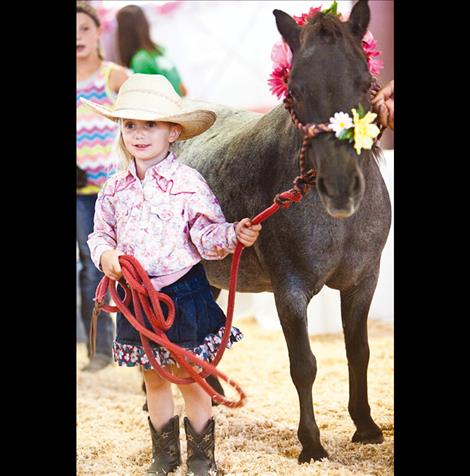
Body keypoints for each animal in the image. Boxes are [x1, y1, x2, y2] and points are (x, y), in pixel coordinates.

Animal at [173, 0, 390, 462]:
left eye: (366, 84)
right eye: (295, 90)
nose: (339, 187)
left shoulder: (364, 280)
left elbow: (359, 351)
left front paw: (366, 426)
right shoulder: (289, 290)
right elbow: (304, 364)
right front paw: (312, 445)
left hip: (207, 278)